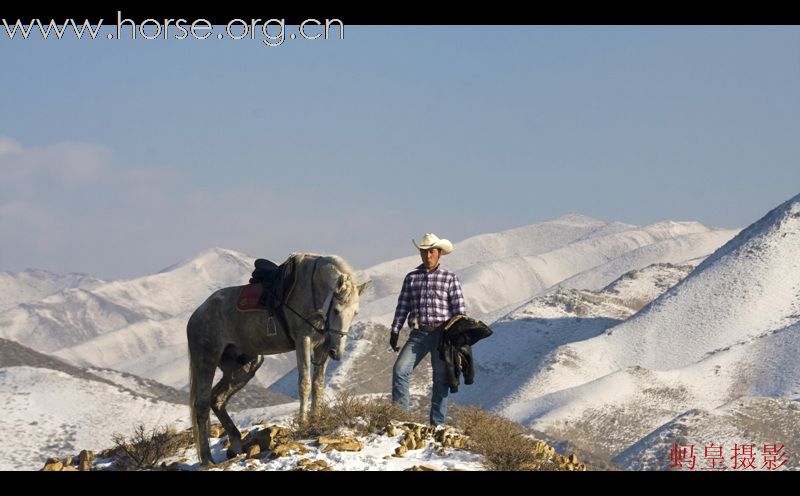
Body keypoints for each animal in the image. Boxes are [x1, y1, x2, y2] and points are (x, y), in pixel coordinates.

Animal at [186, 252, 368, 464]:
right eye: (337, 310)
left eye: (355, 312)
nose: (336, 352)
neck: (313, 288)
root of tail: (197, 315)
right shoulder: (303, 341)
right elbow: (305, 383)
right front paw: (303, 423)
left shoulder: (322, 348)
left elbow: (318, 386)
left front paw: (316, 420)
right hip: (206, 360)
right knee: (202, 404)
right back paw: (207, 459)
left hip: (244, 366)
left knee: (218, 399)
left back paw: (236, 444)